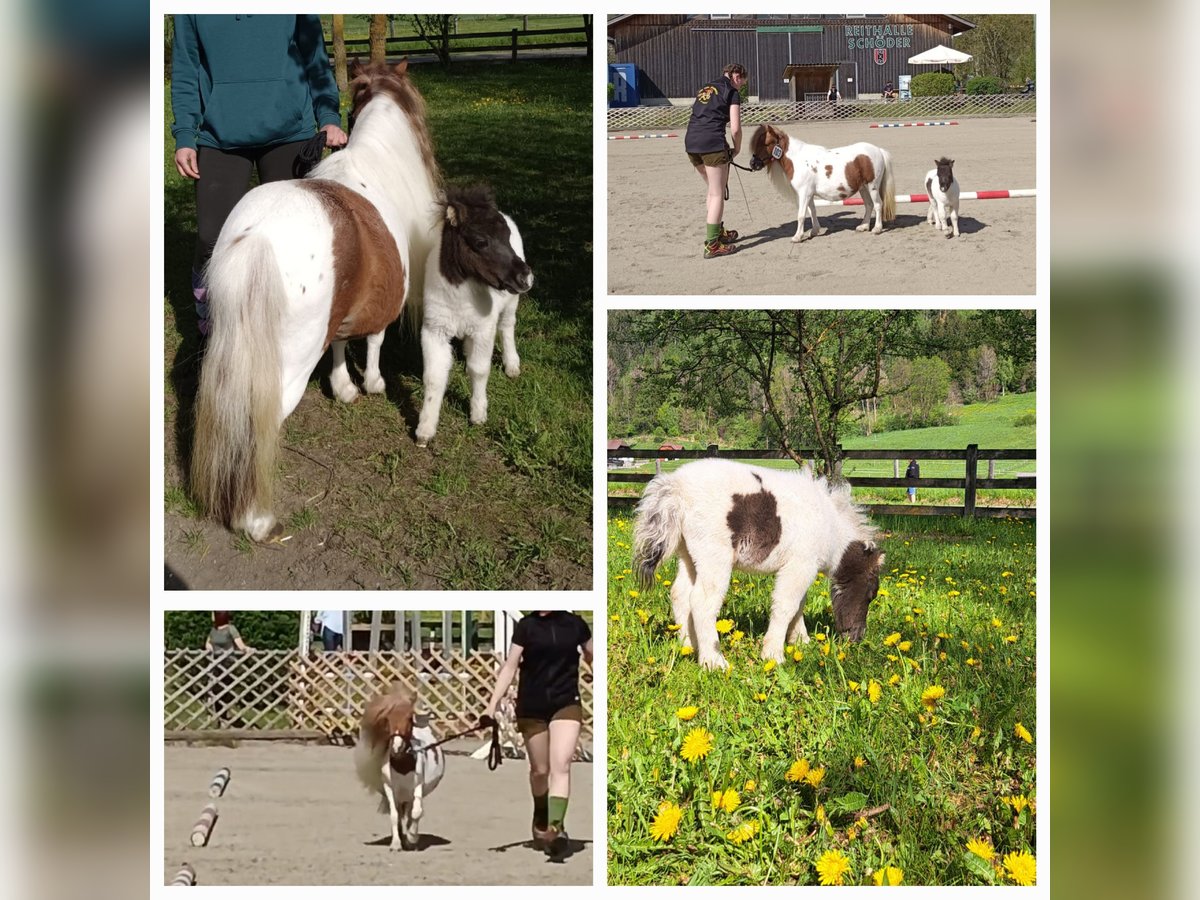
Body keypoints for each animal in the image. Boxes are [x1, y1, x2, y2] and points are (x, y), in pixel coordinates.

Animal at [189, 61, 444, 542]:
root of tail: (259, 239)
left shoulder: (343, 307)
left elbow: (341, 343)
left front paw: (344, 387)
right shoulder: (385, 300)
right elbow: (376, 340)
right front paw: (373, 384)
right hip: (283, 373)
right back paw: (256, 521)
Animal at [355, 681, 451, 854]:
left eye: (409, 718)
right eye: (387, 719)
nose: (397, 748)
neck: (403, 764)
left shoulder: (417, 786)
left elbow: (416, 813)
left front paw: (412, 839)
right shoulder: (390, 788)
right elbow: (394, 815)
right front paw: (396, 843)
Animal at [417, 186, 535, 448]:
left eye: (507, 236)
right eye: (480, 242)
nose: (526, 277)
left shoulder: (484, 329)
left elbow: (480, 370)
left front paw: (478, 414)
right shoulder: (434, 330)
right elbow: (434, 377)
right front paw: (424, 430)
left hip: (511, 303)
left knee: (507, 326)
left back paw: (512, 365)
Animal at [633, 460, 888, 667]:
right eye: (871, 594)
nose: (856, 638)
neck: (829, 525)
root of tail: (675, 488)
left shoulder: (799, 568)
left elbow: (799, 605)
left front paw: (800, 641)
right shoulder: (800, 565)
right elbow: (786, 605)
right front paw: (773, 654)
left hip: (688, 555)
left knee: (679, 595)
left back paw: (689, 647)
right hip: (714, 557)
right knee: (702, 602)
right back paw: (714, 662)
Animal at [748, 124, 892, 243]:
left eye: (767, 143)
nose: (753, 164)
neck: (798, 160)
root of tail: (878, 150)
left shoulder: (804, 193)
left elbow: (801, 215)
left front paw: (797, 237)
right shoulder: (809, 194)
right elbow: (812, 211)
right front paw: (814, 231)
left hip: (872, 186)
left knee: (878, 204)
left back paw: (877, 228)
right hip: (863, 188)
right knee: (868, 205)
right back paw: (864, 226)